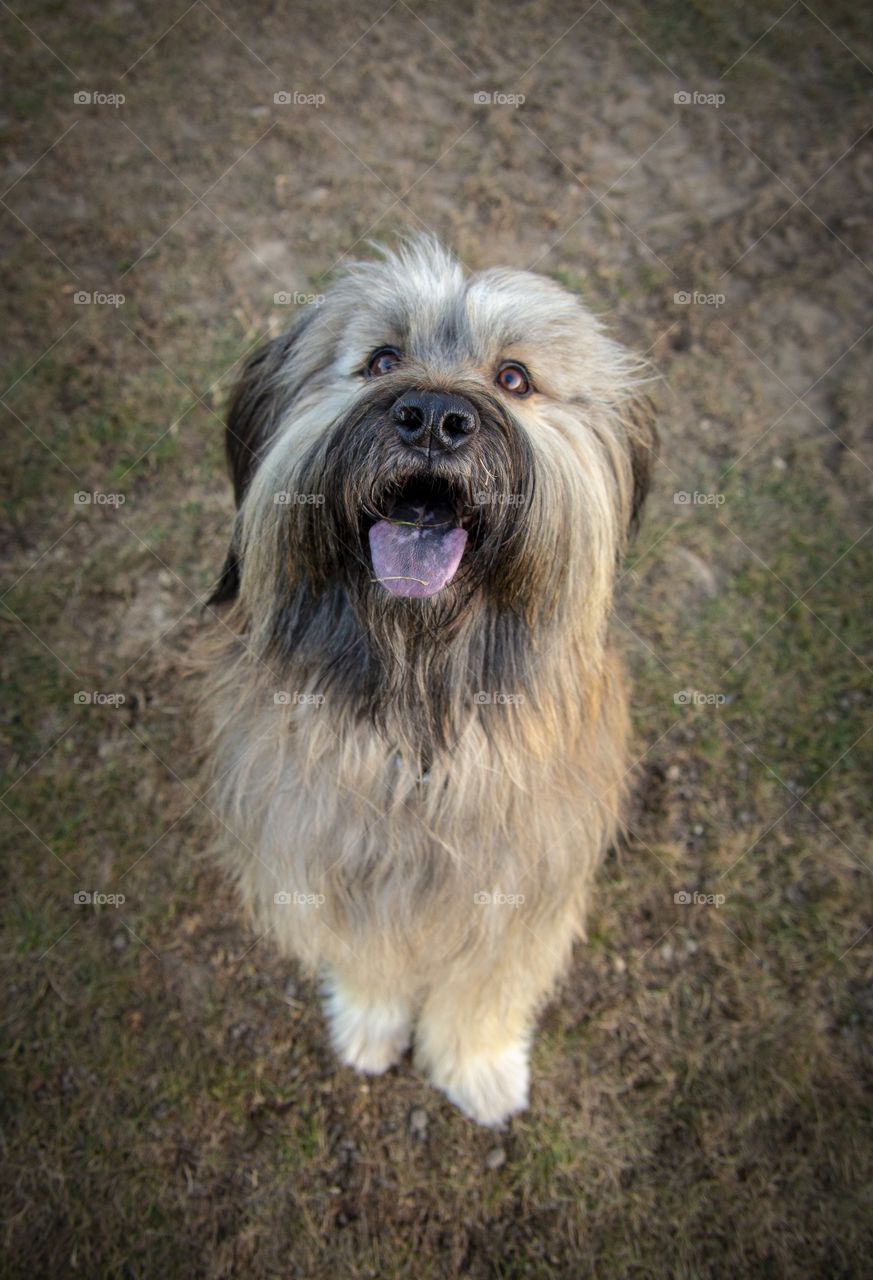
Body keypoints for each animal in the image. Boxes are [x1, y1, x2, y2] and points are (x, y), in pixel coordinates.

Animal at [195, 235, 645, 1126]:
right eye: (380, 360)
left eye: (514, 377)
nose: (434, 418)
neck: (418, 709)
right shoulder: (333, 855)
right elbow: (370, 954)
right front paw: (371, 1024)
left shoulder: (520, 883)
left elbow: (484, 986)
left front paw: (476, 1067)